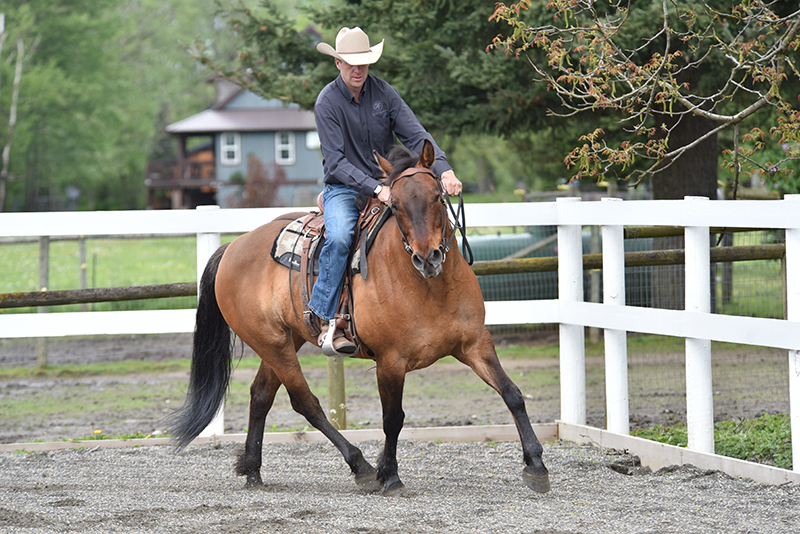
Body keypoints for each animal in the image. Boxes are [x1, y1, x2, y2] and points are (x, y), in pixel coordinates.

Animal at [168, 139, 550, 496]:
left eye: (437, 198)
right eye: (395, 206)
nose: (428, 257)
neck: (429, 287)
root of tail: (233, 246)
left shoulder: (475, 343)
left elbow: (513, 393)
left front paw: (536, 465)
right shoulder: (391, 362)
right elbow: (393, 419)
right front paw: (389, 475)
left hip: (284, 339)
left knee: (261, 394)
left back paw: (252, 469)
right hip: (271, 343)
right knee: (305, 402)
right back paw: (360, 465)